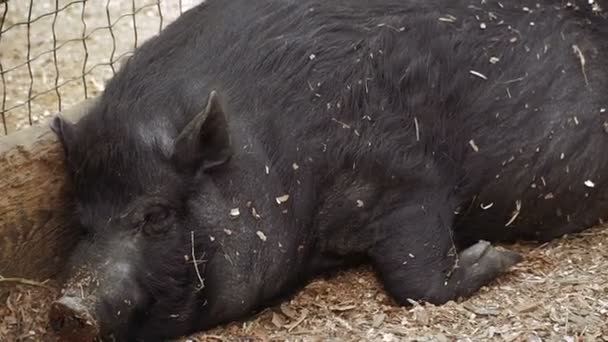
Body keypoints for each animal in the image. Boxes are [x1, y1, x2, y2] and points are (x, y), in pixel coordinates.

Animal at [48, 0, 608, 340]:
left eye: (157, 216)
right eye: (82, 221)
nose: (68, 308)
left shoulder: (409, 178)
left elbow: (417, 277)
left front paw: (500, 255)